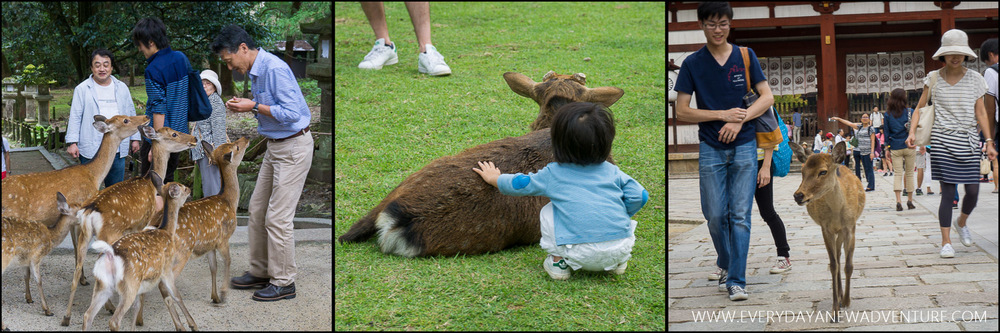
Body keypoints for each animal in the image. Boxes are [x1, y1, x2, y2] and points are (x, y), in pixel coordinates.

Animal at [1, 192, 79, 330]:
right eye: (80, 210)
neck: (51, 237)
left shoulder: (25, 260)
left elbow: (26, 276)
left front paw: (29, 299)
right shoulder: (36, 256)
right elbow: (39, 280)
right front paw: (48, 310)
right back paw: (5, 326)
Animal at [84, 183, 199, 330]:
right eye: (183, 188)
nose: (190, 190)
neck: (167, 232)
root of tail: (110, 255)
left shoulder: (141, 284)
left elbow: (137, 307)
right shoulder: (166, 269)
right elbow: (176, 295)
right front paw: (193, 325)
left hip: (103, 284)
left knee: (88, 315)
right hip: (129, 284)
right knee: (114, 320)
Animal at [788, 141, 868, 322]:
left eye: (823, 171)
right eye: (802, 171)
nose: (798, 196)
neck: (838, 211)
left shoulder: (850, 227)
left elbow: (848, 265)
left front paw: (847, 301)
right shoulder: (825, 228)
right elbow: (833, 265)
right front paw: (835, 312)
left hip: (843, 232)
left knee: (840, 256)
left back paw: (842, 297)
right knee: (837, 258)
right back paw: (838, 296)